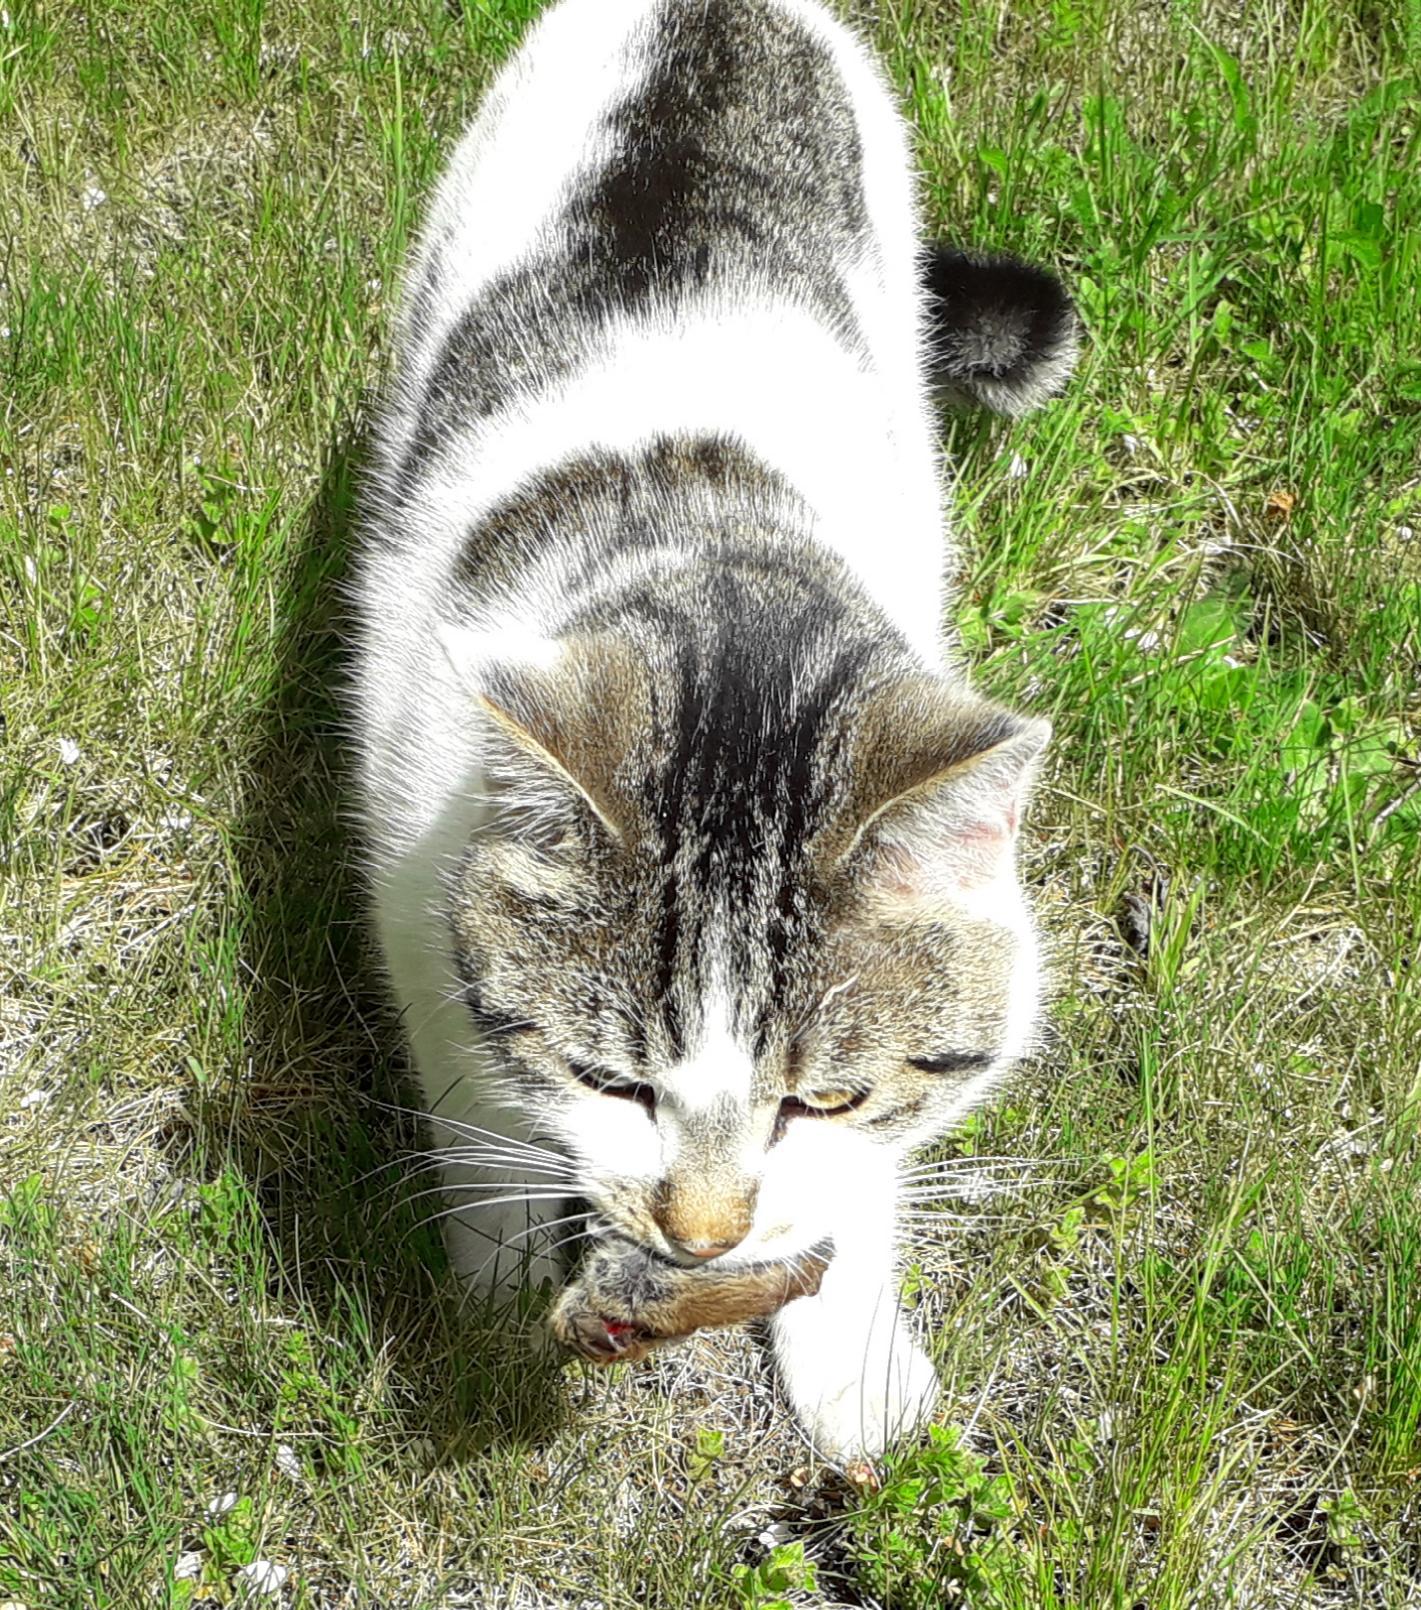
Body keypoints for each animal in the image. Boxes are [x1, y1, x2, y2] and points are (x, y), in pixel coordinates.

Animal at [350, 0, 1075, 1461]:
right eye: (612, 1081)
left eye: (824, 1097)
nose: (701, 1235)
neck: (712, 548)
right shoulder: (408, 873)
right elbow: (470, 1089)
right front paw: (497, 1274)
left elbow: (857, 1181)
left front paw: (849, 1362)